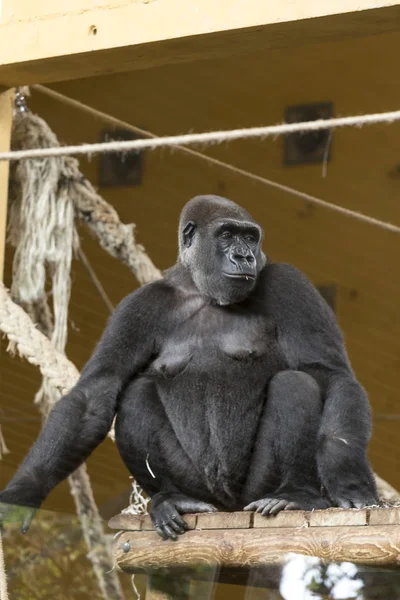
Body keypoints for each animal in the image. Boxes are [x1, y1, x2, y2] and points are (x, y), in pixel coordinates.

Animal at [0, 196, 378, 540]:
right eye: (226, 235)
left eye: (250, 237)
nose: (244, 256)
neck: (200, 288)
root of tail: (227, 508)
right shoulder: (137, 307)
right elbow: (95, 393)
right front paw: (23, 493)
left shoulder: (290, 283)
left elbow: (329, 374)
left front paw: (348, 478)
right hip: (202, 492)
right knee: (136, 395)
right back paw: (171, 499)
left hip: (250, 493)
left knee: (295, 384)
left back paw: (294, 495)